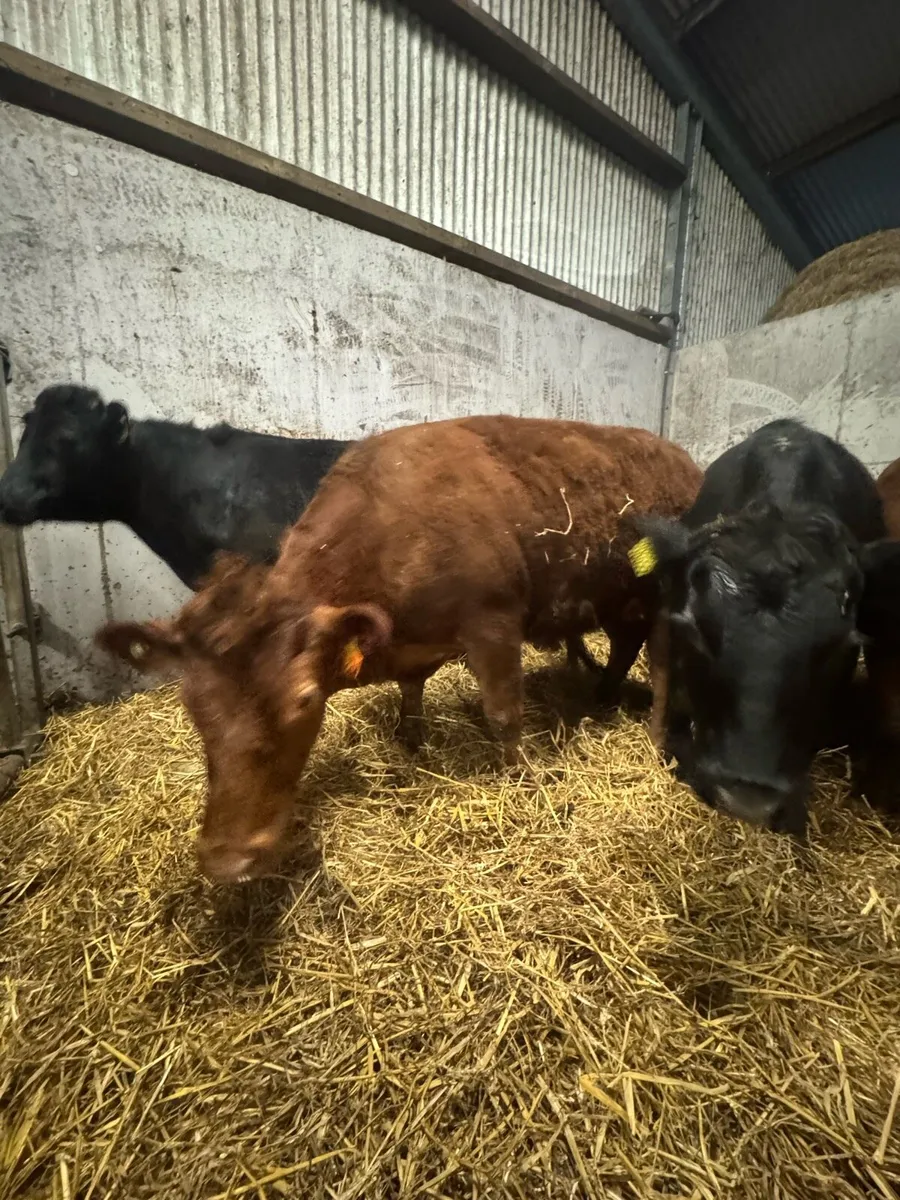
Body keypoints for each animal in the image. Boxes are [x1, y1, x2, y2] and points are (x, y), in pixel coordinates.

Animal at [97, 415, 702, 883]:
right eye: (195, 710)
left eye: (304, 702)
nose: (228, 861)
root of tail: (683, 458)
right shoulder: (414, 642)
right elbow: (412, 690)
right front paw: (412, 739)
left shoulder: (492, 623)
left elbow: (504, 714)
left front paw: (524, 778)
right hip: (618, 597)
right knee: (624, 644)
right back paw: (601, 696)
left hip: (665, 598)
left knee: (663, 664)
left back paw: (655, 738)